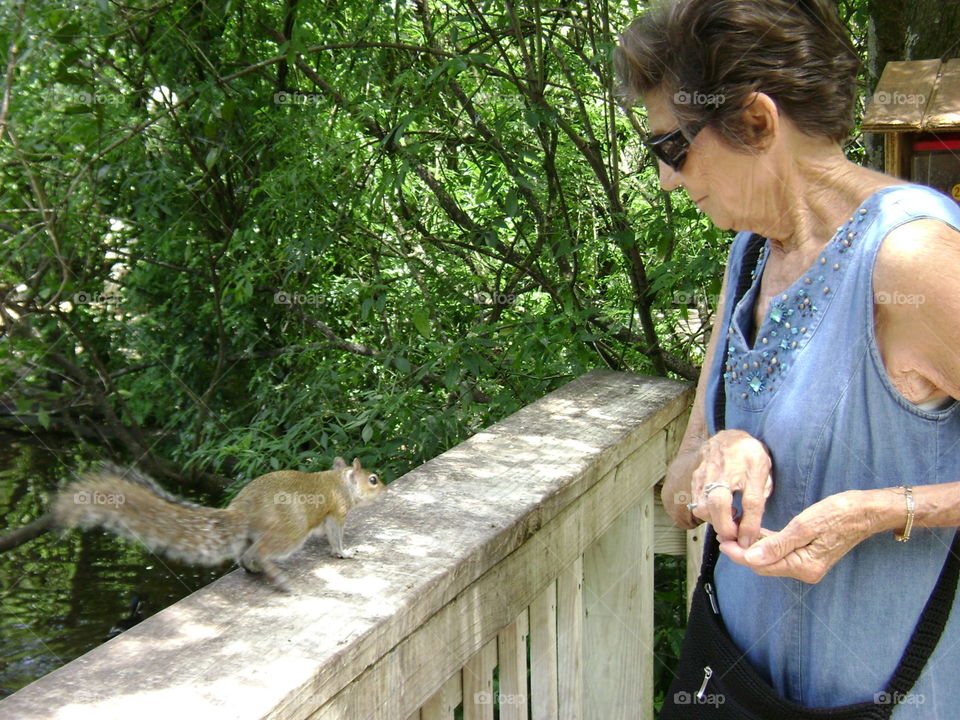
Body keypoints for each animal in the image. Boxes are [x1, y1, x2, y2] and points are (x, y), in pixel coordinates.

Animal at [51, 457, 385, 591]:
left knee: (245, 555)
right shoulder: (336, 512)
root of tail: (242, 509)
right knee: (262, 552)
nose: (384, 490)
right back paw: (276, 576)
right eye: (373, 480)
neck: (339, 482)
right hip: (290, 531)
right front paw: (344, 552)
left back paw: (254, 570)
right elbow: (336, 537)